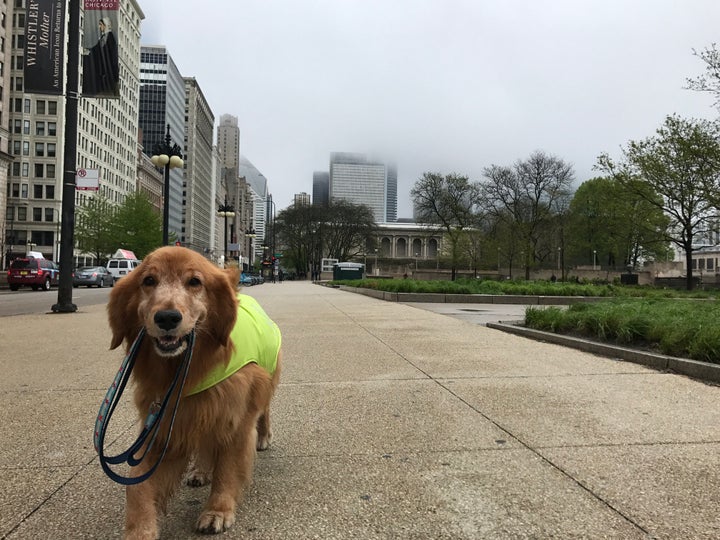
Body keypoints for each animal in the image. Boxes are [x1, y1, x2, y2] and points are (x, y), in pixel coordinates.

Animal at [107, 247, 282, 536]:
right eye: (148, 280)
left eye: (195, 282)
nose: (167, 317)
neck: (187, 369)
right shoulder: (164, 427)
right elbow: (136, 485)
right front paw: (140, 530)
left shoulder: (234, 420)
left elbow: (227, 469)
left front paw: (217, 510)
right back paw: (200, 471)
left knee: (264, 410)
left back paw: (264, 436)